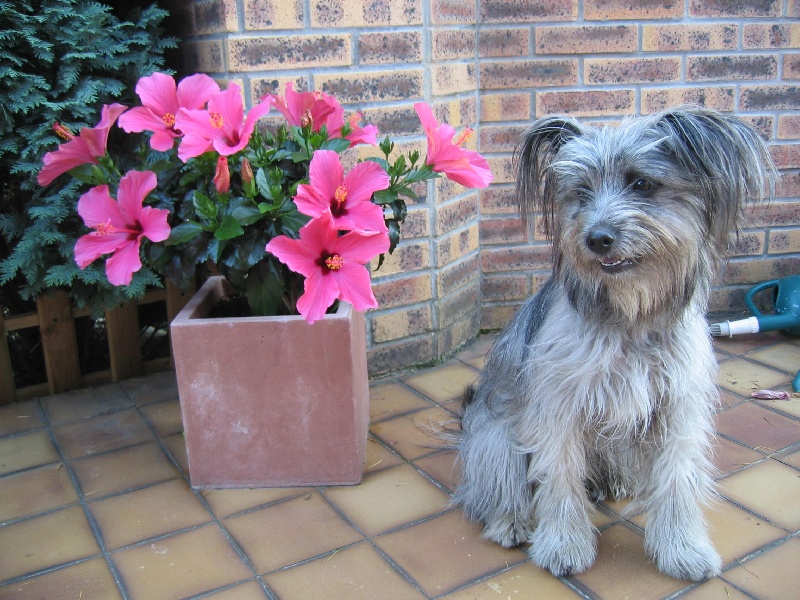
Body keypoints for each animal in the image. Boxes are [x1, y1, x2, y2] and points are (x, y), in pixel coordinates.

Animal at [456, 106, 776, 580]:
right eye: (581, 192)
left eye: (642, 183)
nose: (597, 238)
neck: (630, 316)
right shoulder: (560, 408)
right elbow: (560, 476)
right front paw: (564, 545)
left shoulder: (678, 408)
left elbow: (677, 478)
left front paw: (683, 548)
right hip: (495, 437)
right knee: (499, 485)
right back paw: (511, 521)